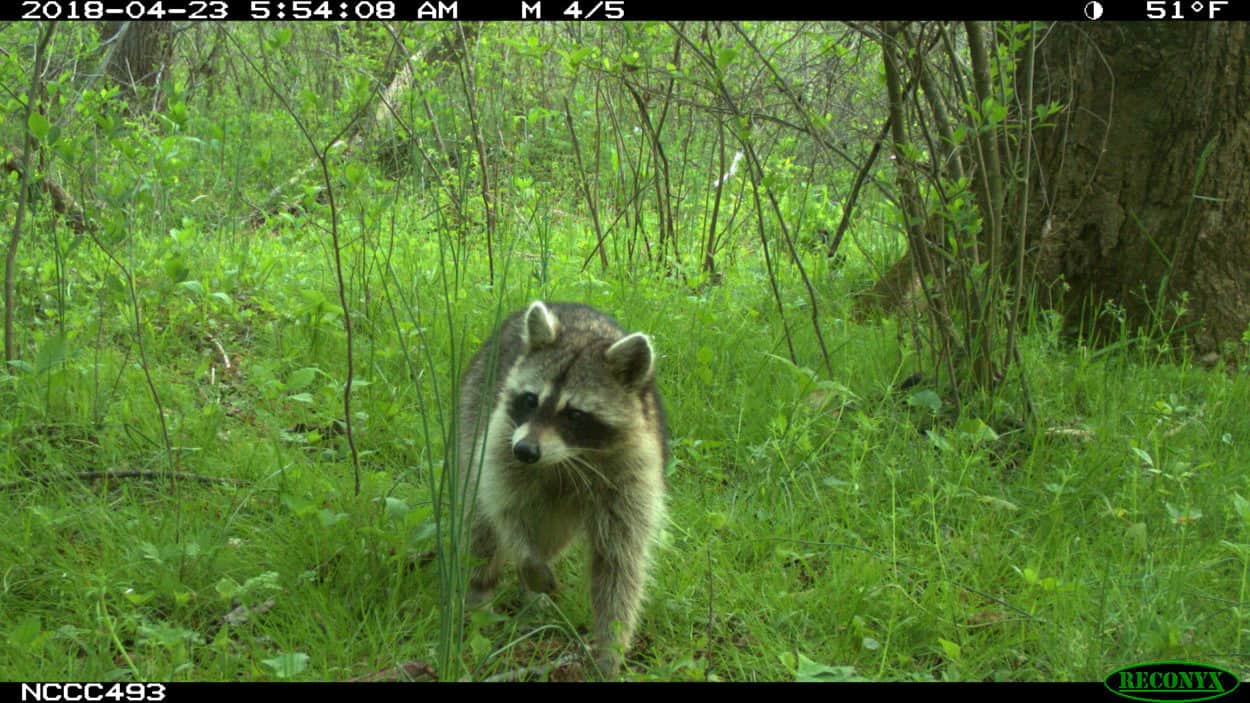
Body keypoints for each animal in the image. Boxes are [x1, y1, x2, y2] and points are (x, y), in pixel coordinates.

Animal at [460, 300, 670, 675]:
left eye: (574, 414)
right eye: (530, 399)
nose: (526, 451)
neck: (569, 458)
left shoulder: (633, 475)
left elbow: (619, 565)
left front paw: (611, 648)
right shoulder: (501, 437)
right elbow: (501, 508)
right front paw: (527, 560)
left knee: (553, 534)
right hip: (475, 400)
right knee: (482, 529)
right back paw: (481, 593)